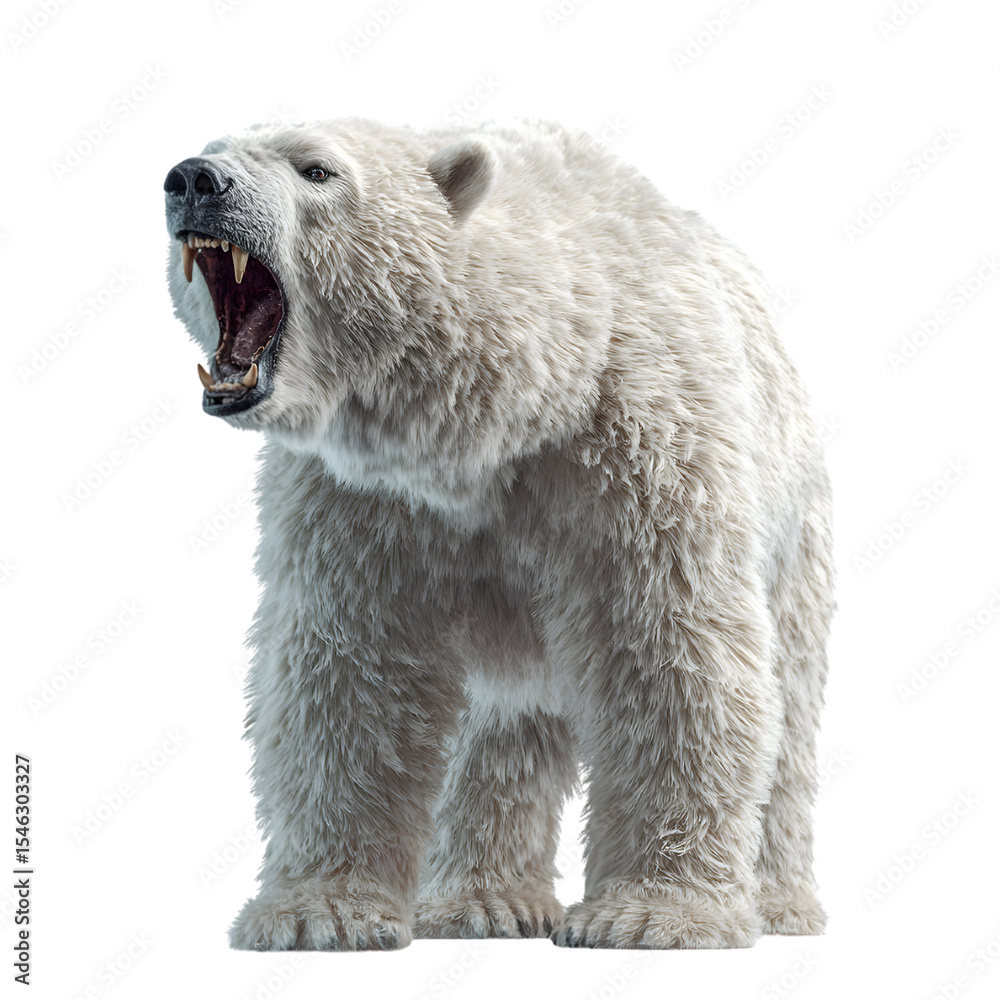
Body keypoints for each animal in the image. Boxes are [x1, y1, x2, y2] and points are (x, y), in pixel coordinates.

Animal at [163, 117, 834, 951]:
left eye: (316, 169)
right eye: (218, 145)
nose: (194, 180)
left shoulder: (643, 447)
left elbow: (669, 650)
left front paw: (653, 915)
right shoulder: (362, 498)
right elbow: (349, 671)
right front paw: (319, 912)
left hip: (794, 526)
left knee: (789, 704)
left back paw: (779, 903)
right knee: (503, 728)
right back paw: (480, 902)